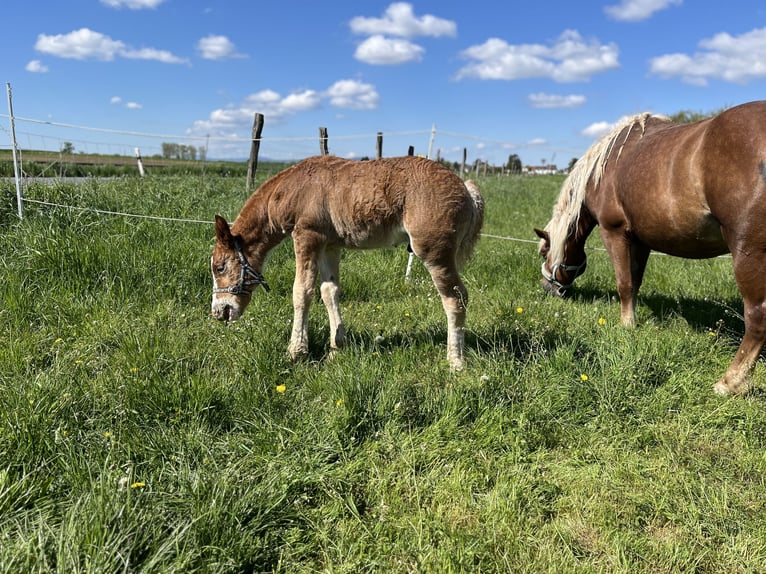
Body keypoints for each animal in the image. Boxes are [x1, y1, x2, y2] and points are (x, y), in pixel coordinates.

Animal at [536, 101, 766, 396]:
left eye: (544, 252)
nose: (549, 288)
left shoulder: (615, 233)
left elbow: (624, 284)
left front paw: (626, 326)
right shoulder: (640, 241)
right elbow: (635, 283)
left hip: (749, 253)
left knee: (757, 316)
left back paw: (730, 382)